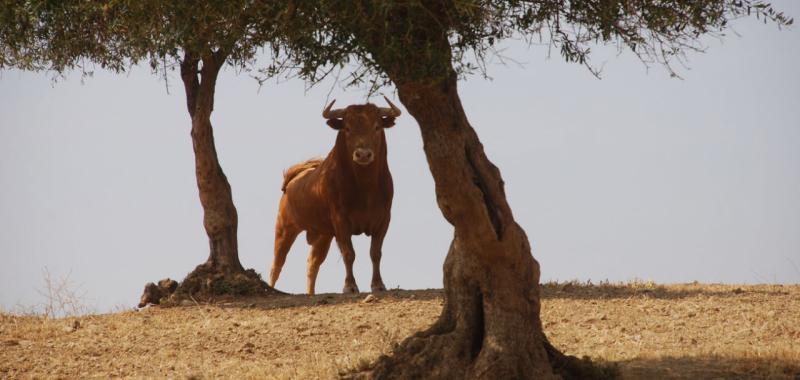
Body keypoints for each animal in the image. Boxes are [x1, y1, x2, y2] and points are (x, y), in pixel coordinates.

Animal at [272, 96, 404, 296]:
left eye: (377, 127)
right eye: (347, 128)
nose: (363, 154)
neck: (365, 188)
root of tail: (293, 179)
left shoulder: (383, 220)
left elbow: (375, 253)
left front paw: (378, 284)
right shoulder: (341, 221)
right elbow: (349, 254)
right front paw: (350, 286)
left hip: (322, 235)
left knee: (313, 264)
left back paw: (311, 293)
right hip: (284, 229)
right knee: (277, 265)